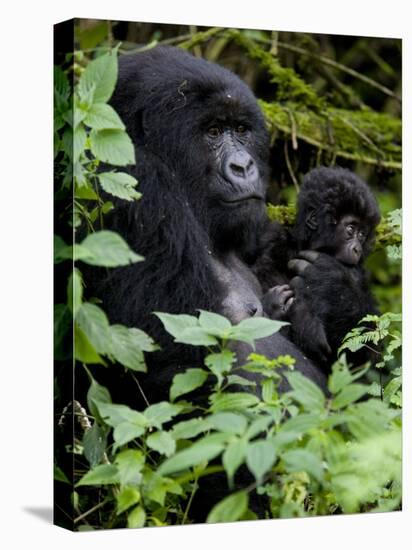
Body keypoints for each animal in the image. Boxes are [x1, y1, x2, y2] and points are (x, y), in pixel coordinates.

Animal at [256, 166, 382, 368]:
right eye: (350, 229)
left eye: (362, 234)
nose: (357, 249)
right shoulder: (272, 243)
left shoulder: (357, 273)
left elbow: (365, 351)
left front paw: (329, 280)